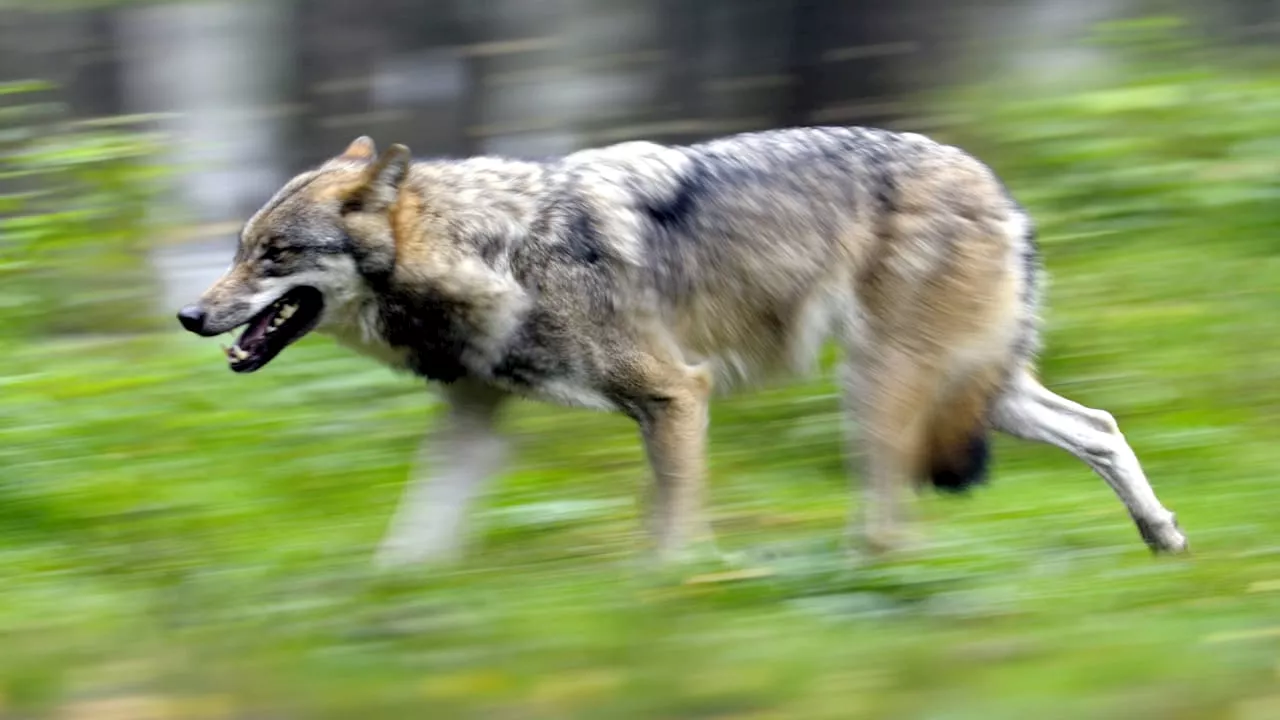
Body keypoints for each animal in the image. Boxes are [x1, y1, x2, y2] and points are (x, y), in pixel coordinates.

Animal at [172, 126, 1187, 561]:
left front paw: (673, 607)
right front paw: (386, 617)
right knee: (1100, 425)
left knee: (895, 511)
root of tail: (1001, 191)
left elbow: (671, 531)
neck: (499, 249)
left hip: (882, 392)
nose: (188, 315)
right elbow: (410, 542)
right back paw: (1163, 538)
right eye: (237, 250)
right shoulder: (475, 421)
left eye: (273, 255)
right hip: (976, 393)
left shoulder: (675, 396)